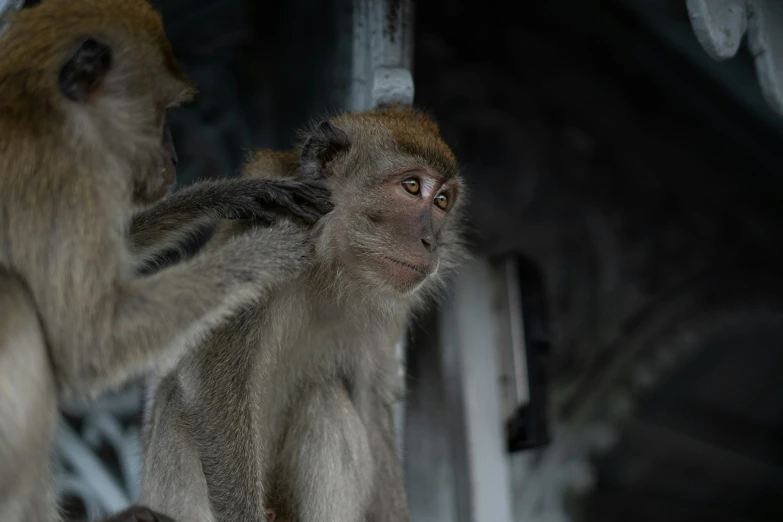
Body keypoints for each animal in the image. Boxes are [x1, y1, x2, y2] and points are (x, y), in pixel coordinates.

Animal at [0, 1, 330, 520]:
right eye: (160, 112)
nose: (173, 157)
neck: (46, 113)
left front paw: (236, 195)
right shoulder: (62, 180)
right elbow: (88, 345)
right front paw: (275, 245)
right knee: (14, 296)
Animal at [140, 105, 466, 520]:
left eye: (441, 201)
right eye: (411, 186)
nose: (430, 242)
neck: (331, 267)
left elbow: (370, 400)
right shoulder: (264, 241)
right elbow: (208, 384)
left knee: (325, 398)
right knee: (172, 400)